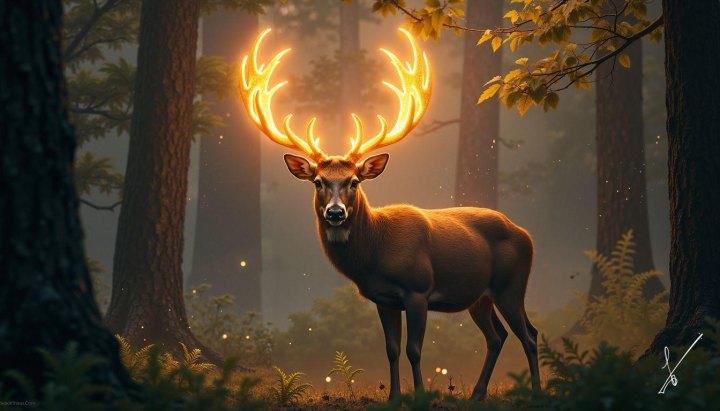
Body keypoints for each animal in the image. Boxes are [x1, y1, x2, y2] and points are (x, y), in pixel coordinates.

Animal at [238, 28, 540, 400]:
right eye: (318, 182)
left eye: (354, 181)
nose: (335, 213)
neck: (374, 254)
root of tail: (526, 235)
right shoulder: (384, 299)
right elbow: (392, 349)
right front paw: (395, 396)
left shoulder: (418, 288)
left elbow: (414, 349)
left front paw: (420, 396)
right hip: (480, 296)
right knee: (498, 337)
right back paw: (477, 395)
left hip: (511, 285)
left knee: (529, 334)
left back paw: (537, 391)